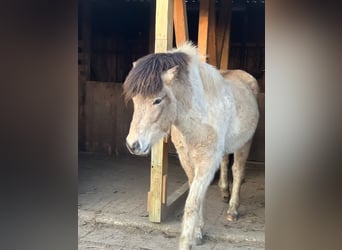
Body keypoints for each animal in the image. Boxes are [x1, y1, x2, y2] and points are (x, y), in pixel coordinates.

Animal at [123, 42, 260, 249]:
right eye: (134, 99)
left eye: (157, 100)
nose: (133, 145)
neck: (199, 116)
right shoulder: (187, 160)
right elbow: (198, 198)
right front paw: (198, 233)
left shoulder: (206, 163)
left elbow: (192, 203)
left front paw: (187, 241)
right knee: (226, 163)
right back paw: (224, 192)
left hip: (244, 143)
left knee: (237, 171)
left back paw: (232, 210)